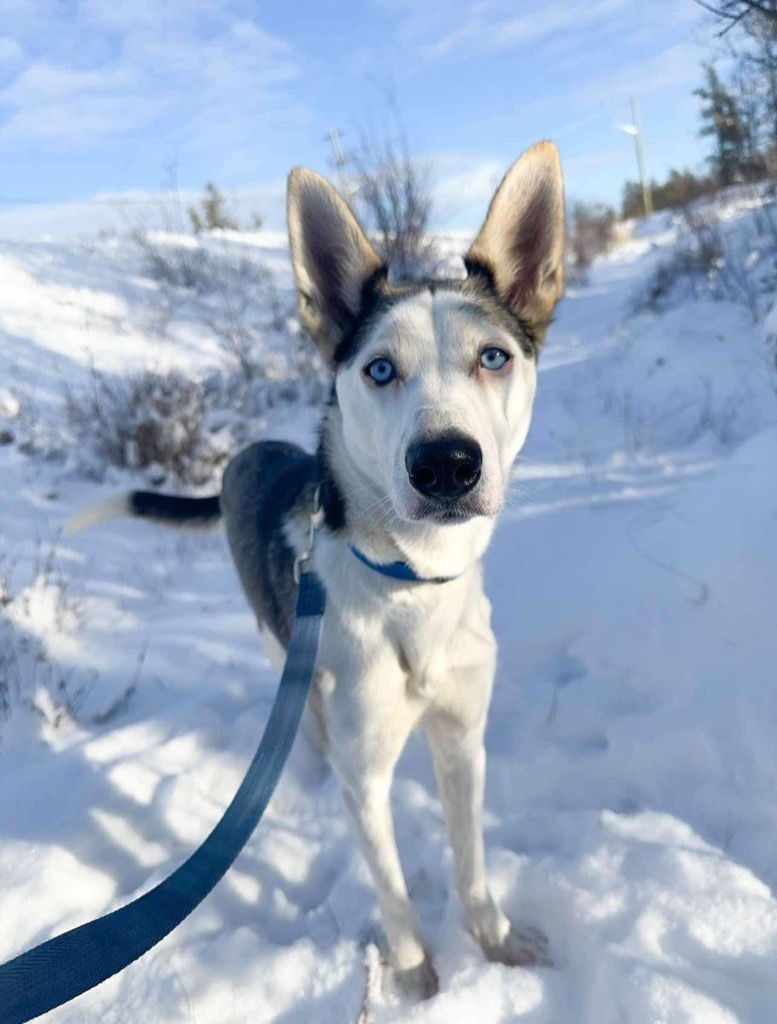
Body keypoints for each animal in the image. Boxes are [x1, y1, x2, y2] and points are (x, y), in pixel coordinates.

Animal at [75, 144, 565, 999]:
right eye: (379, 370)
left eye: (493, 358)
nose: (446, 464)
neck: (408, 588)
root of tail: (246, 451)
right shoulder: (364, 777)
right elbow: (392, 886)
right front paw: (413, 978)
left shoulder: (461, 740)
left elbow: (470, 861)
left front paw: (497, 942)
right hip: (276, 637)